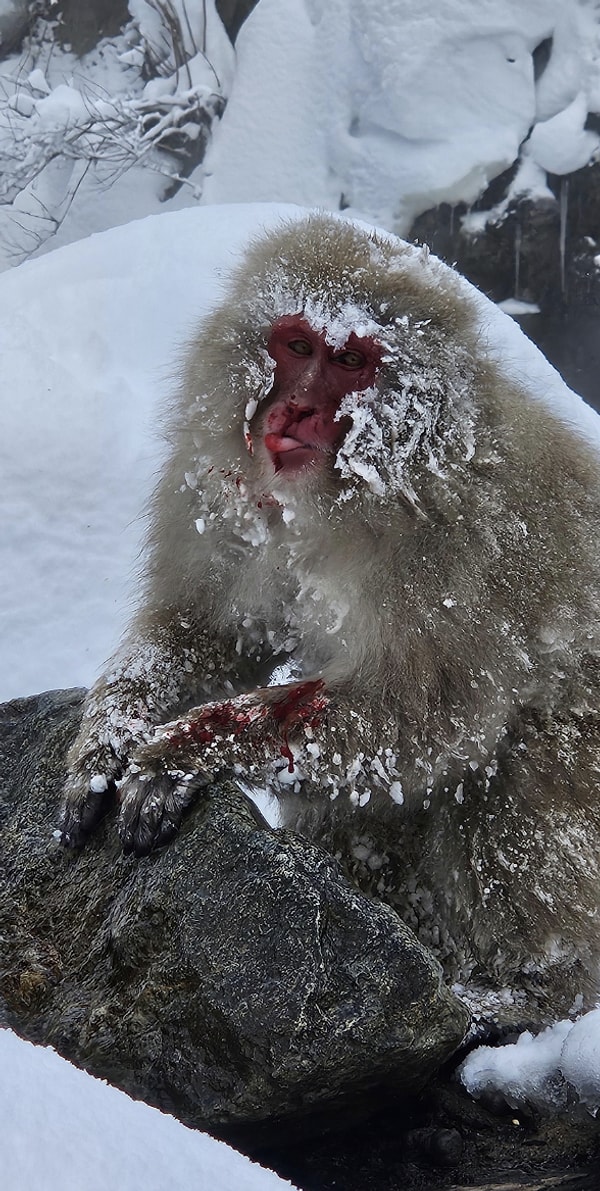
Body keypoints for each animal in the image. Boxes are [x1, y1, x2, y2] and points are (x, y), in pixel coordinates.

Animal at [59, 214, 600, 1024]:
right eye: (296, 346)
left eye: (349, 360)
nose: (296, 410)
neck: (347, 494)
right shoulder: (228, 502)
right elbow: (210, 632)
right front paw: (108, 740)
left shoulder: (456, 554)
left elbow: (423, 723)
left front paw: (184, 751)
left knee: (519, 763)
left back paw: (527, 993)